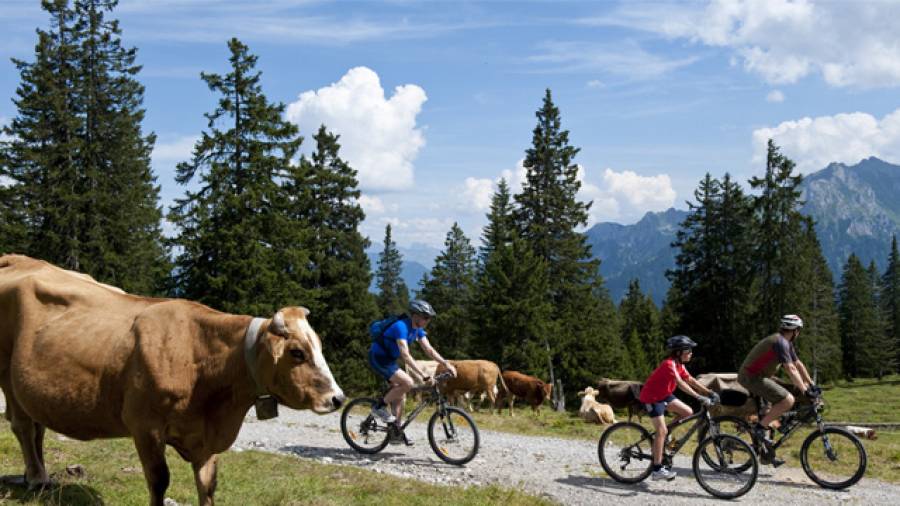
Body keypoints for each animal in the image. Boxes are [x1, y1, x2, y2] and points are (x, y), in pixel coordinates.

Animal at [0, 255, 344, 506]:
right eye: (298, 352)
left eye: (319, 346)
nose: (337, 398)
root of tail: (20, 259)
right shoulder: (145, 427)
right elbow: (159, 480)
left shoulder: (204, 438)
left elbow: (207, 484)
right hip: (5, 374)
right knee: (22, 426)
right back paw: (36, 477)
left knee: (37, 425)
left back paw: (39, 477)